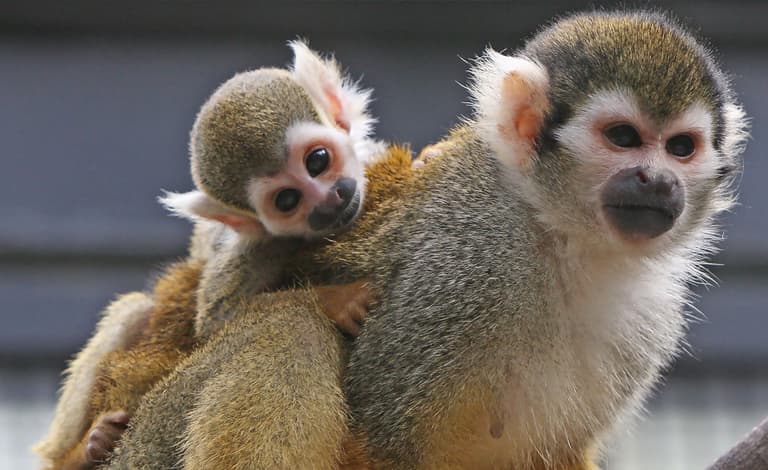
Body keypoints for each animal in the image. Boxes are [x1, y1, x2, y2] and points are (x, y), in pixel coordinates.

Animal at [33, 41, 388, 470]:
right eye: (288, 200)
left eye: (317, 160)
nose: (329, 202)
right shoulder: (261, 245)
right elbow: (216, 319)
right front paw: (337, 300)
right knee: (136, 311)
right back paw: (80, 451)